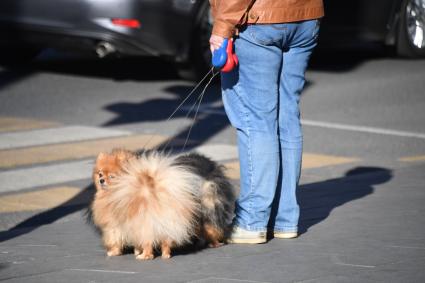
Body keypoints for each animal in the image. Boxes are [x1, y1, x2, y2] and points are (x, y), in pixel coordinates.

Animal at [90, 150, 235, 260]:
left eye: (112, 177)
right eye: (100, 173)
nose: (101, 180)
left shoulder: (118, 224)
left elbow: (116, 239)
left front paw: (122, 252)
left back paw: (145, 256)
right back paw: (166, 254)